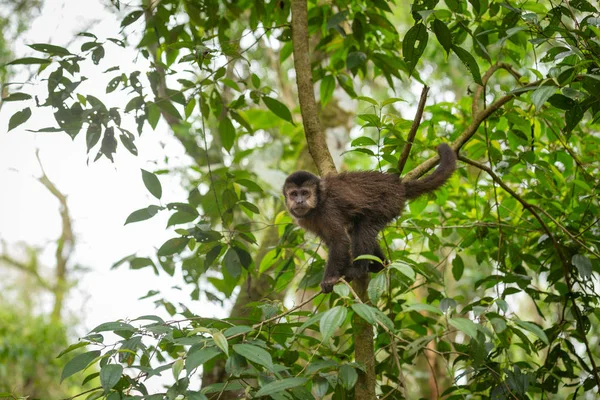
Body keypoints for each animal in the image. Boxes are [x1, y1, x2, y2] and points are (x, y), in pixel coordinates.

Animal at [282, 142, 454, 292]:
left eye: (305, 193)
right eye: (294, 194)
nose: (299, 201)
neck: (317, 204)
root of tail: (398, 186)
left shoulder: (327, 211)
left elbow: (339, 241)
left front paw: (329, 279)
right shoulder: (307, 220)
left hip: (388, 203)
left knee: (364, 228)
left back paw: (359, 270)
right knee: (357, 229)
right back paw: (381, 264)